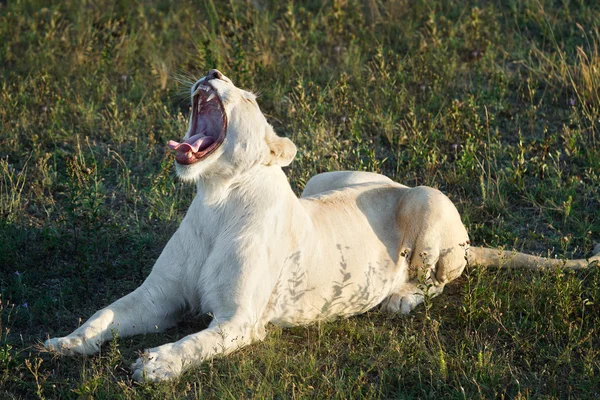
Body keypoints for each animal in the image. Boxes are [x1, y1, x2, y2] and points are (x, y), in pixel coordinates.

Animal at [43, 69, 600, 382]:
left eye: (248, 97)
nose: (213, 70)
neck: (214, 199)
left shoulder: (240, 319)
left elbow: (196, 342)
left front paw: (157, 364)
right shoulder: (159, 297)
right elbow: (105, 315)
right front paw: (64, 344)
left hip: (427, 198)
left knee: (441, 277)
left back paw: (401, 298)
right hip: (324, 177)